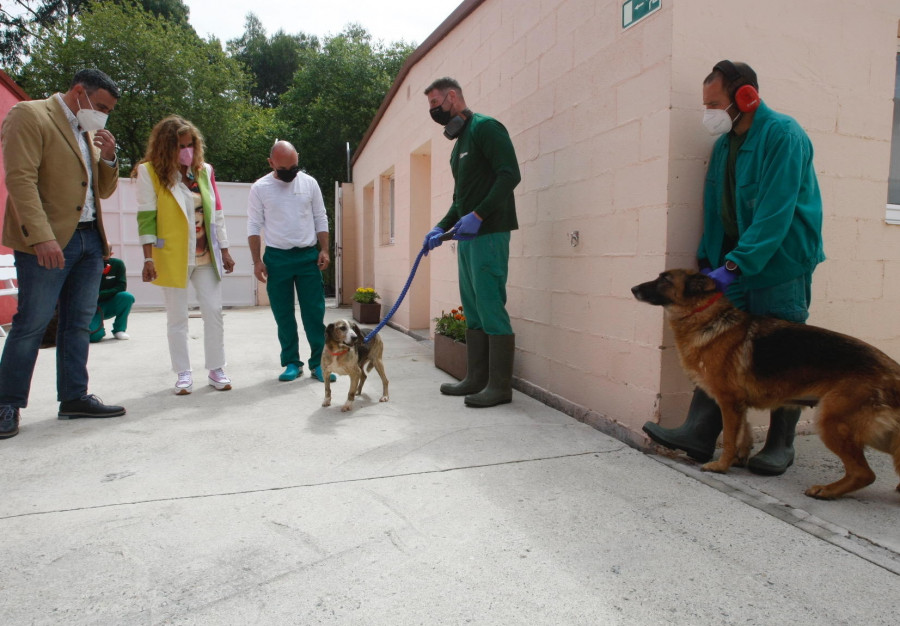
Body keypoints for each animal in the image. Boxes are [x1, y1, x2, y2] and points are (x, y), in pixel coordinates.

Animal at [632, 266, 900, 498]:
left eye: (665, 280)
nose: (633, 288)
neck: (704, 315)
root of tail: (893, 372)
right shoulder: (738, 405)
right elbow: (743, 432)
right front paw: (738, 460)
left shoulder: (728, 401)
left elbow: (729, 437)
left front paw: (720, 466)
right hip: (875, 432)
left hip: (832, 422)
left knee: (864, 473)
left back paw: (827, 491)